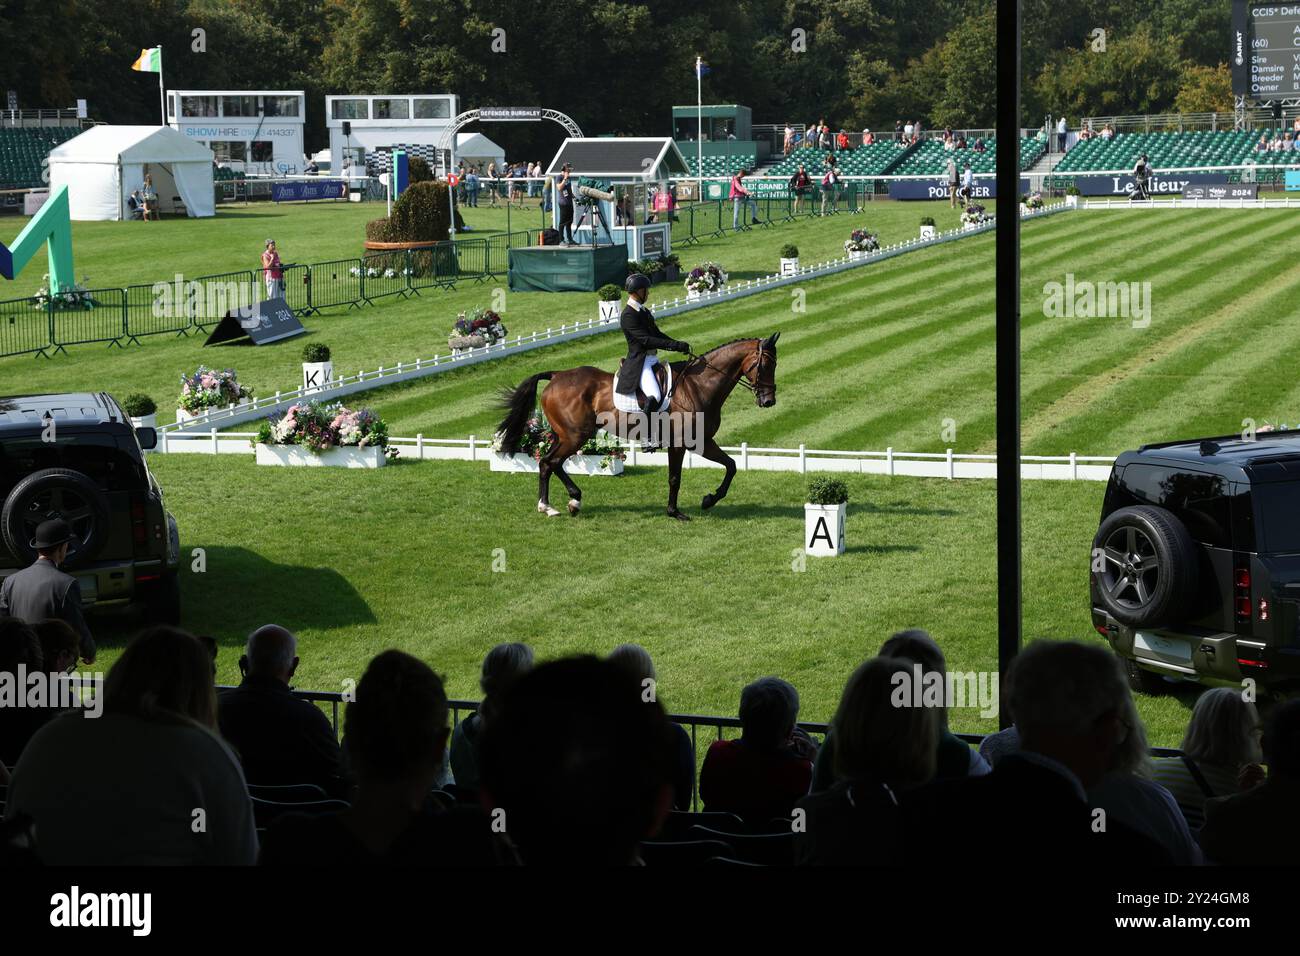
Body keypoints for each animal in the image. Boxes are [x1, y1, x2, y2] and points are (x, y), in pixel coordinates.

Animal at [493, 332, 780, 520]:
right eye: (765, 364)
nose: (769, 401)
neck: (699, 386)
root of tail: (557, 376)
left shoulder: (703, 442)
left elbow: (731, 465)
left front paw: (709, 500)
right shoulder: (681, 444)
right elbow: (675, 478)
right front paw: (675, 512)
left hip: (565, 435)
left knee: (548, 463)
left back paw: (557, 504)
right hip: (575, 435)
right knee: (551, 462)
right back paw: (564, 502)